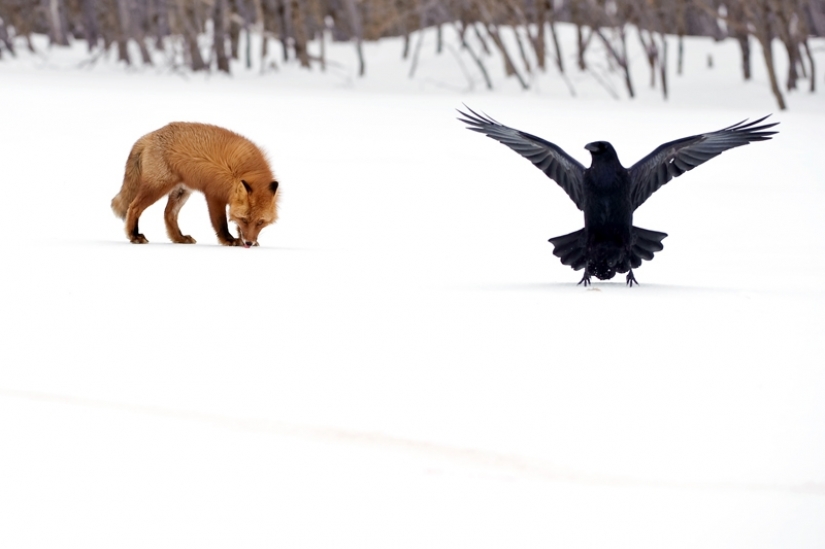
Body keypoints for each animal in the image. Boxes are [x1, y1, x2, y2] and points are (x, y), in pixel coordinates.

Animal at [111, 122, 280, 247]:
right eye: (245, 220)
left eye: (260, 222)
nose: (249, 243)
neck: (238, 171)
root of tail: (149, 135)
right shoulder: (214, 195)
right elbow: (221, 223)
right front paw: (229, 240)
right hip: (157, 187)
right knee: (133, 207)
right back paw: (134, 235)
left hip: (181, 191)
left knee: (168, 214)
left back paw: (179, 238)